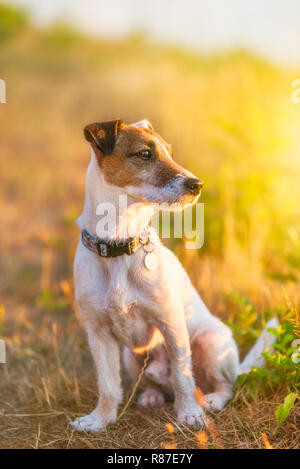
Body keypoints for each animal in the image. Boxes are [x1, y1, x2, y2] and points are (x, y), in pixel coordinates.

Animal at [69, 118, 276, 432]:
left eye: (170, 152)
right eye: (144, 153)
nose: (197, 185)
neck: (119, 243)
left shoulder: (170, 322)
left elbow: (182, 375)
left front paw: (190, 414)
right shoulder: (98, 333)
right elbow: (108, 384)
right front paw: (99, 420)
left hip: (211, 340)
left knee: (222, 385)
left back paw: (211, 400)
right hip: (132, 356)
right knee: (157, 384)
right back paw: (152, 396)